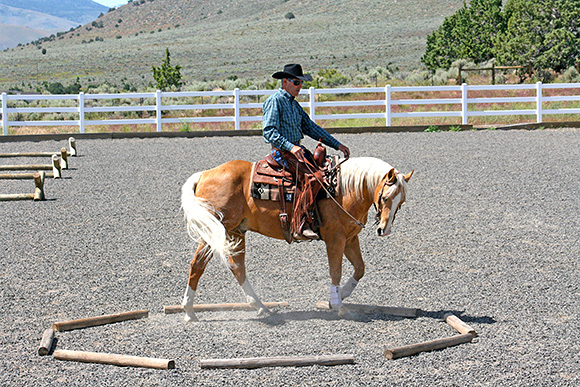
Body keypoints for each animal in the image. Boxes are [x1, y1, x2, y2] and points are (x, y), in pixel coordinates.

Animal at [181, 156, 412, 322]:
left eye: (401, 203)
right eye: (385, 197)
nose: (384, 229)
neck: (345, 190)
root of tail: (204, 175)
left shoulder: (350, 238)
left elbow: (360, 268)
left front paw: (342, 295)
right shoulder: (335, 239)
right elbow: (335, 270)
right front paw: (337, 304)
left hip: (236, 232)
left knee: (237, 267)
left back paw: (260, 307)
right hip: (215, 231)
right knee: (198, 264)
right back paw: (189, 311)